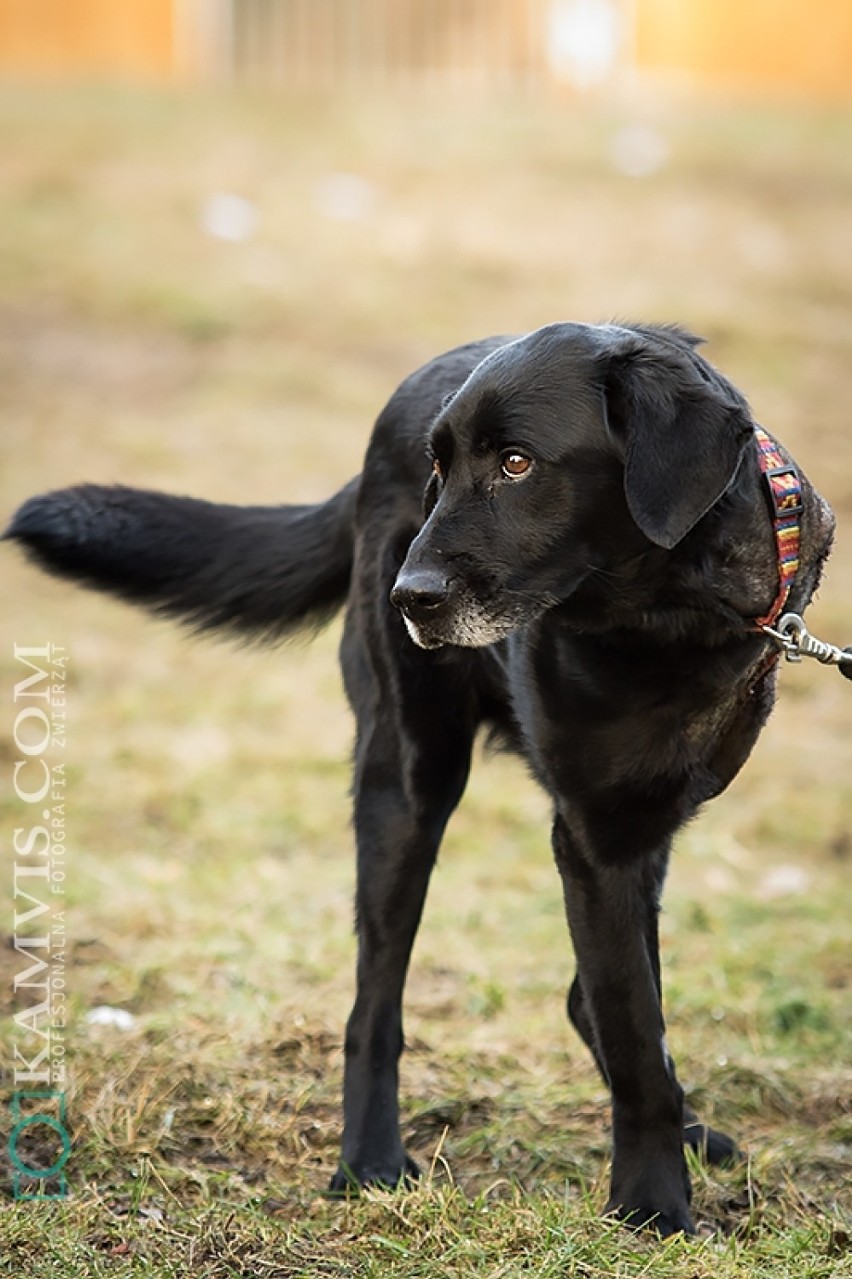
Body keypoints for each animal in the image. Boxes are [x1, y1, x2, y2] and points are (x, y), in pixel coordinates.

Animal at [6, 324, 828, 1232]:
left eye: (517, 463)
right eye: (442, 469)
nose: (410, 596)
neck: (668, 616)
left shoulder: (637, 825)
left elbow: (631, 1015)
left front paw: (660, 1173)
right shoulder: (594, 837)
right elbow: (635, 1036)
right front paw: (651, 1208)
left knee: (587, 997)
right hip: (407, 783)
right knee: (376, 1003)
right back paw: (368, 1160)